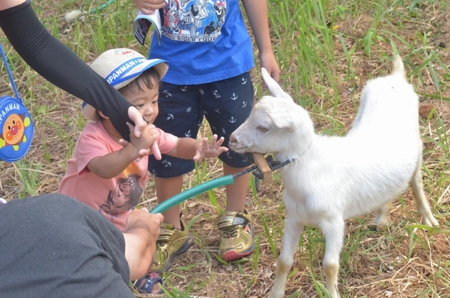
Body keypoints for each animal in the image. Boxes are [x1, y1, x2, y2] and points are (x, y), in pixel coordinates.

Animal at [230, 56, 438, 298]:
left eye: (263, 127)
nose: (232, 139)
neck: (308, 171)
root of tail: (395, 78)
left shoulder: (334, 222)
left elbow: (330, 266)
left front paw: (332, 293)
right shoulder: (294, 217)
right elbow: (283, 261)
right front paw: (276, 293)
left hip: (418, 150)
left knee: (417, 183)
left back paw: (428, 219)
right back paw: (381, 219)